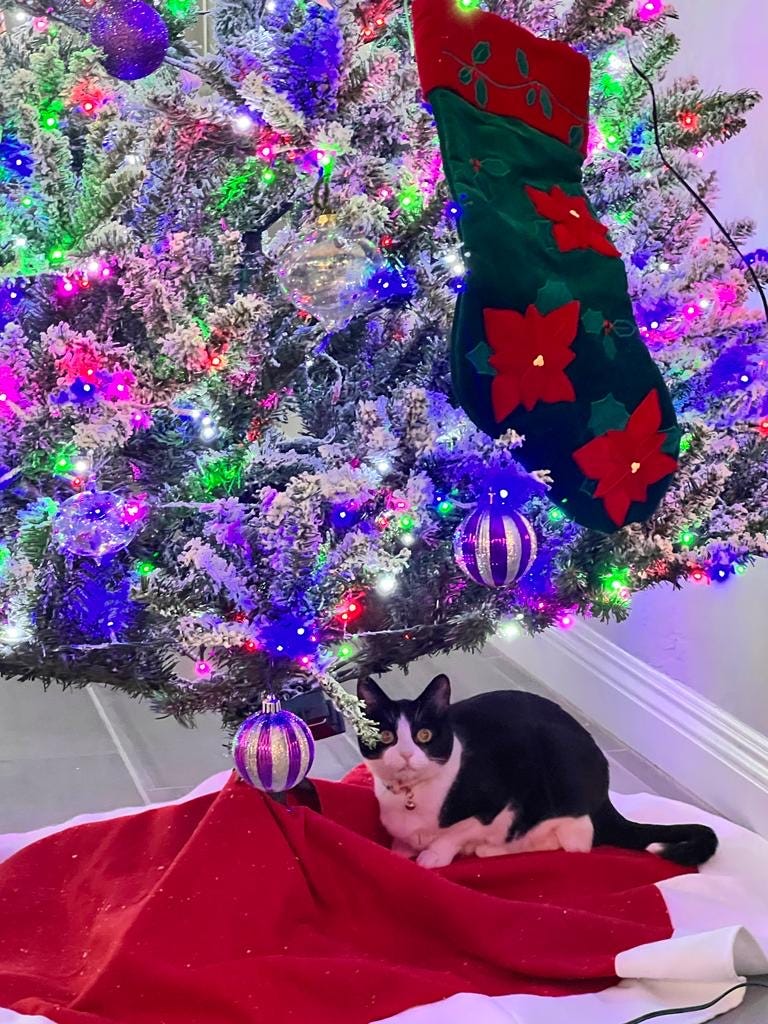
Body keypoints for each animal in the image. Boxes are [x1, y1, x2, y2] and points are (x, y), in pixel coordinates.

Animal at [358, 675, 720, 868]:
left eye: (424, 736)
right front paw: (400, 850)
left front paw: (434, 855)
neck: (412, 796)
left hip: (560, 777)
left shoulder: (499, 797)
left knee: (576, 842)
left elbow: (458, 831)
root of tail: (604, 797)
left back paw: (492, 850)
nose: (406, 755)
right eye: (385, 737)